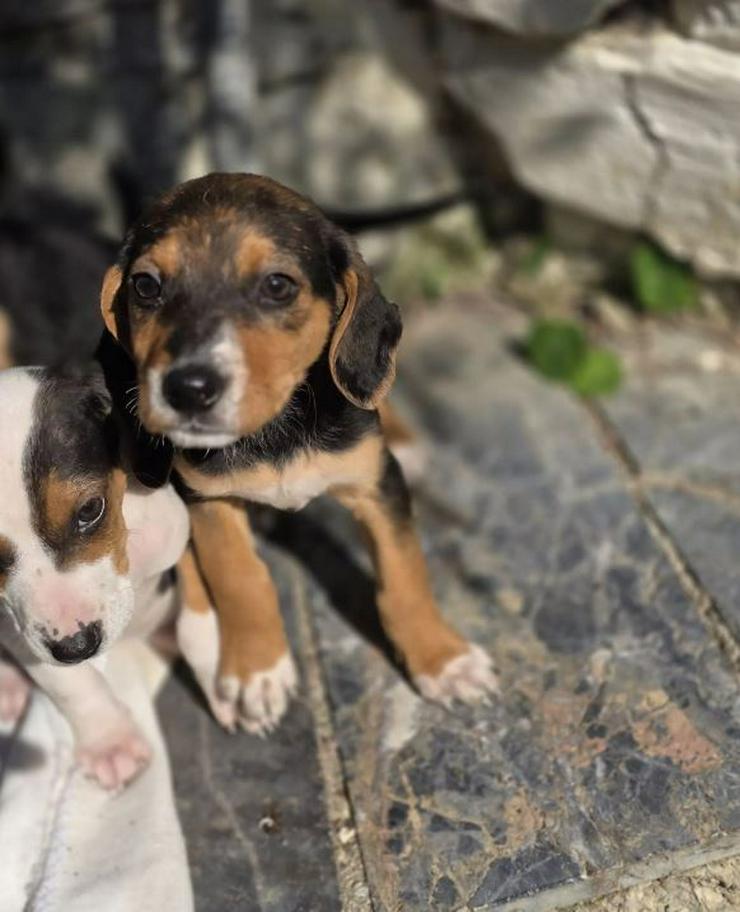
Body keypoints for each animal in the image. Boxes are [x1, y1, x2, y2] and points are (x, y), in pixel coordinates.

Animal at [98, 175, 498, 736]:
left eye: (277, 286)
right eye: (146, 286)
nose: (188, 389)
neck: (274, 430)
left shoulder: (378, 483)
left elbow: (405, 574)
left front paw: (442, 660)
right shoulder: (208, 499)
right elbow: (241, 576)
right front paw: (257, 673)